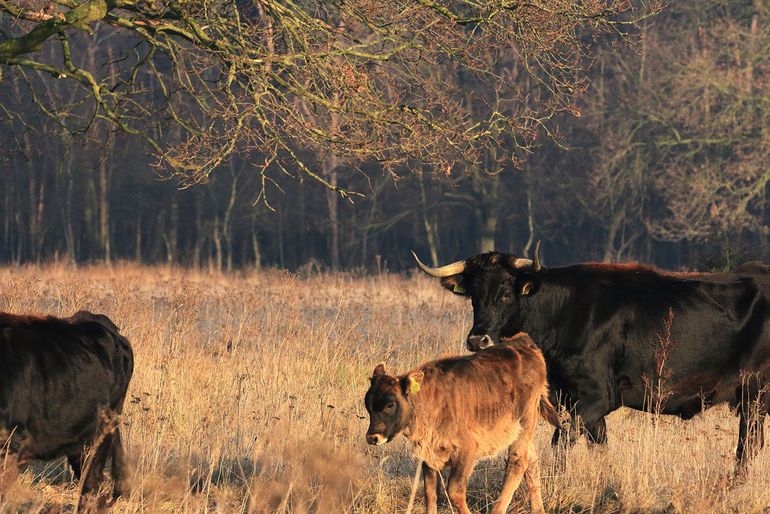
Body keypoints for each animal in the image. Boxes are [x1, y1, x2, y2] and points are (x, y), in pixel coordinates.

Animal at [364, 332, 556, 512]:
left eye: (390, 405)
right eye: (368, 405)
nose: (372, 437)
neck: (428, 398)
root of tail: (523, 343)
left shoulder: (466, 450)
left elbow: (454, 492)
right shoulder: (429, 455)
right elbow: (430, 494)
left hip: (524, 425)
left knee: (517, 463)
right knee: (531, 462)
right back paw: (538, 509)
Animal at [414, 244, 768, 468]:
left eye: (505, 292)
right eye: (473, 295)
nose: (479, 339)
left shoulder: (596, 397)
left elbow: (561, 442)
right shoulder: (570, 397)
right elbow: (599, 446)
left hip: (754, 393)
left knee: (747, 446)